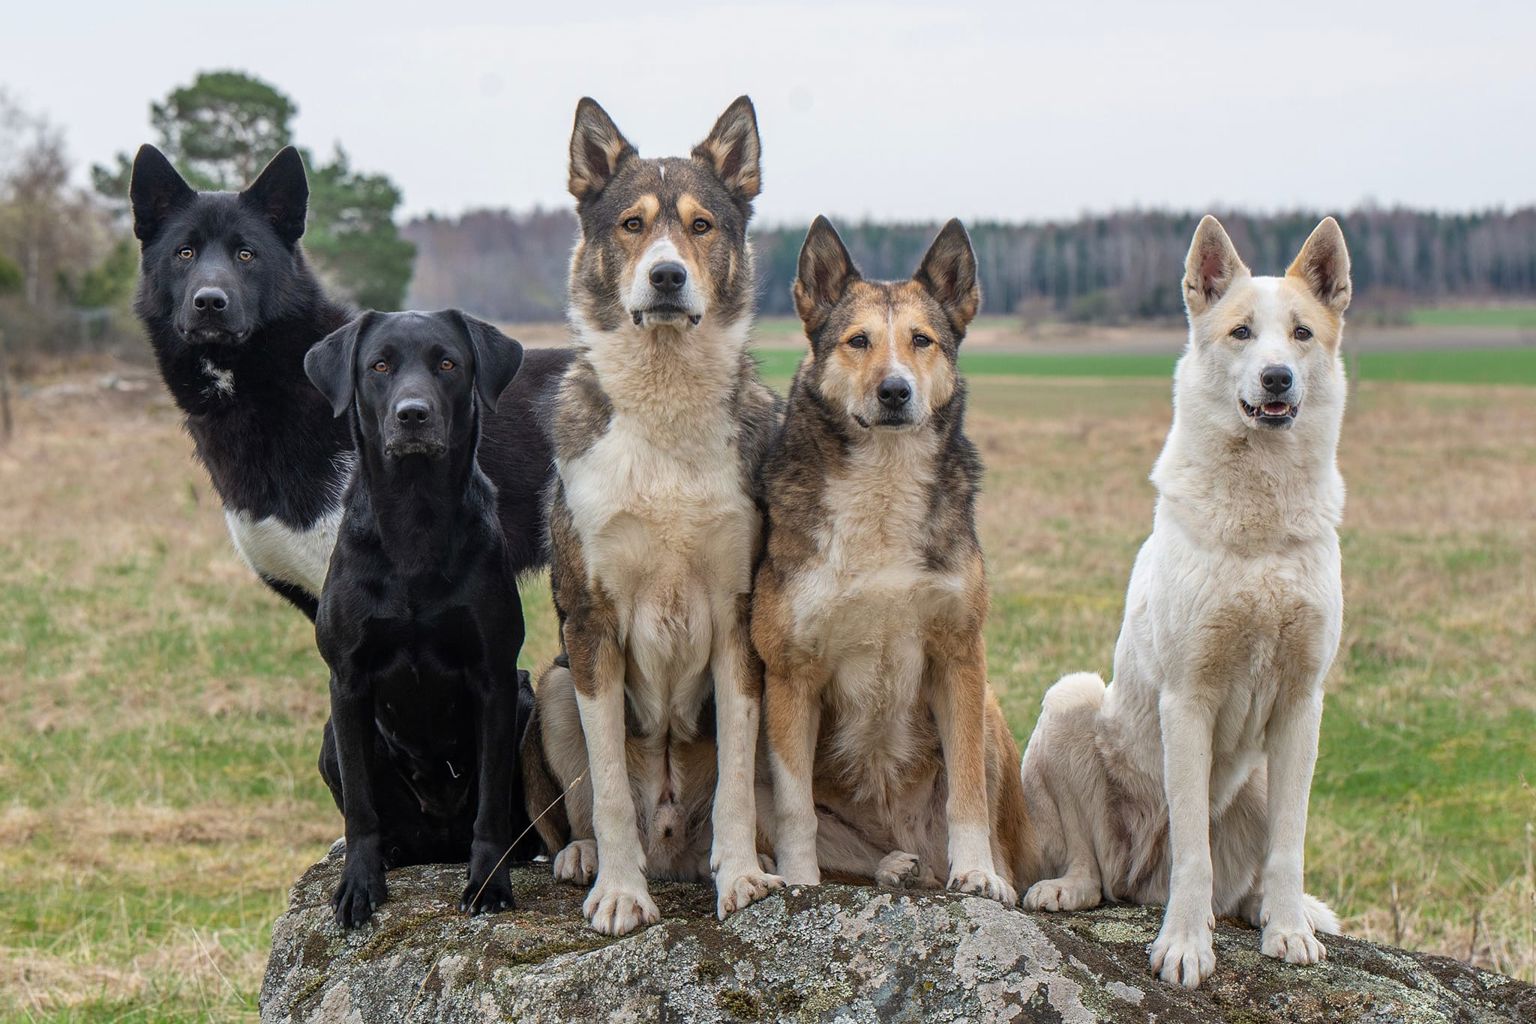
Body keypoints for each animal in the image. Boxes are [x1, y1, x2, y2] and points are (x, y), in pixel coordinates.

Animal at [304, 308, 534, 927]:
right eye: (379, 365)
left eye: (448, 364)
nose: (413, 414)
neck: (415, 517)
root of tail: (439, 844)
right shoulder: (347, 679)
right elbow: (359, 808)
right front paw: (359, 885)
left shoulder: (495, 677)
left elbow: (491, 802)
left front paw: (489, 881)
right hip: (331, 735)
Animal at [1026, 218, 1351, 994]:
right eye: (1241, 332)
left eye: (1301, 333)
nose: (1277, 378)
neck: (1262, 519)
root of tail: (1139, 881)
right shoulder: (1188, 698)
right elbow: (1193, 853)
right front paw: (1184, 947)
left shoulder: (1303, 704)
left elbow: (1290, 844)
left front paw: (1288, 932)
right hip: (1070, 701)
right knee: (1100, 866)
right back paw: (1078, 890)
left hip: (1259, 774)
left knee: (1244, 877)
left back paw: (1260, 909)